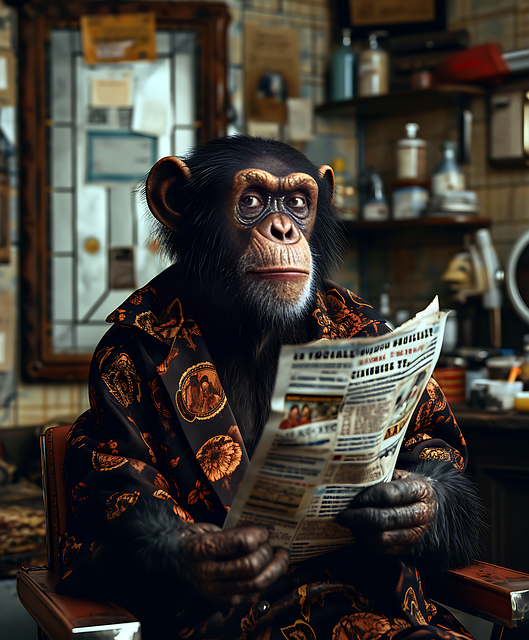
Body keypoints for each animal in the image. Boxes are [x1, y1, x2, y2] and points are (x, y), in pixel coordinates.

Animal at [57, 136, 485, 640]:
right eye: (252, 201)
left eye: (298, 204)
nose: (283, 230)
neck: (253, 325)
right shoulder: (115, 356)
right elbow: (114, 481)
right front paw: (205, 559)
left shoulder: (377, 327)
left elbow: (432, 442)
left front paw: (406, 507)